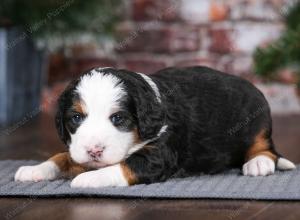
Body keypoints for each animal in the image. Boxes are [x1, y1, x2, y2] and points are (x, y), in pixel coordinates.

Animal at [14, 65, 296, 187]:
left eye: (118, 119)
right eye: (76, 118)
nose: (94, 151)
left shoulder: (159, 156)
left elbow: (123, 166)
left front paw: (87, 178)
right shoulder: (76, 148)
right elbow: (62, 156)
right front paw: (34, 169)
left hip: (258, 121)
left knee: (266, 148)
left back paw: (258, 164)